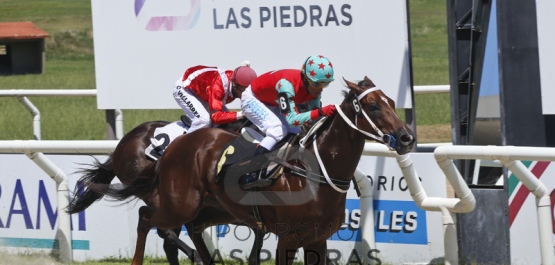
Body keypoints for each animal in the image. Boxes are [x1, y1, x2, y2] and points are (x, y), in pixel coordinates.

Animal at [107, 75, 416, 262]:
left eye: (391, 102)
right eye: (373, 107)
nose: (407, 138)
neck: (317, 170)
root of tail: (173, 146)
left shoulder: (317, 239)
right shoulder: (289, 237)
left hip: (214, 209)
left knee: (190, 228)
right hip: (179, 204)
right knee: (149, 220)